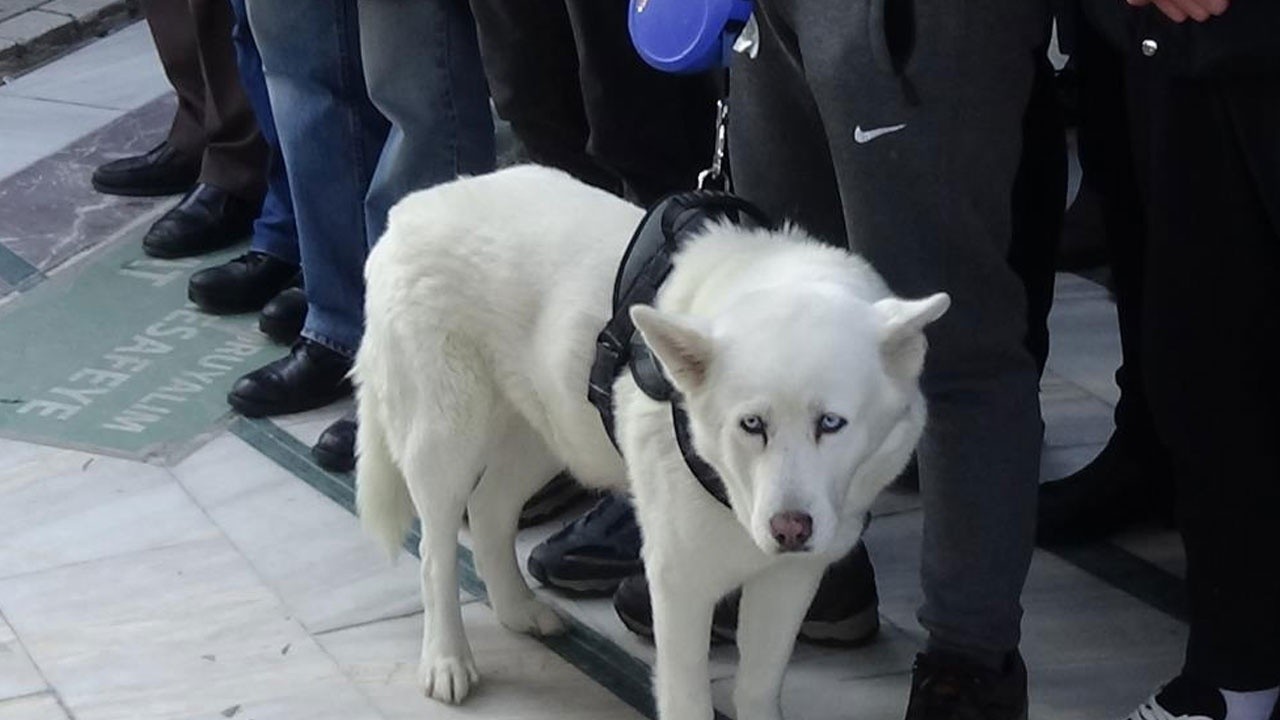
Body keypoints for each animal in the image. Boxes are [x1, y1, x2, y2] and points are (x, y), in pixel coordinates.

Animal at [355, 165, 947, 717]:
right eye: (751, 424)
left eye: (831, 423)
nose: (789, 528)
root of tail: (409, 208)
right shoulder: (679, 581)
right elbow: (687, 698)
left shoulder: (788, 579)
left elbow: (759, 687)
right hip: (446, 442)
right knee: (435, 551)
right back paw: (446, 659)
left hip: (547, 436)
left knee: (488, 511)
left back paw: (517, 611)